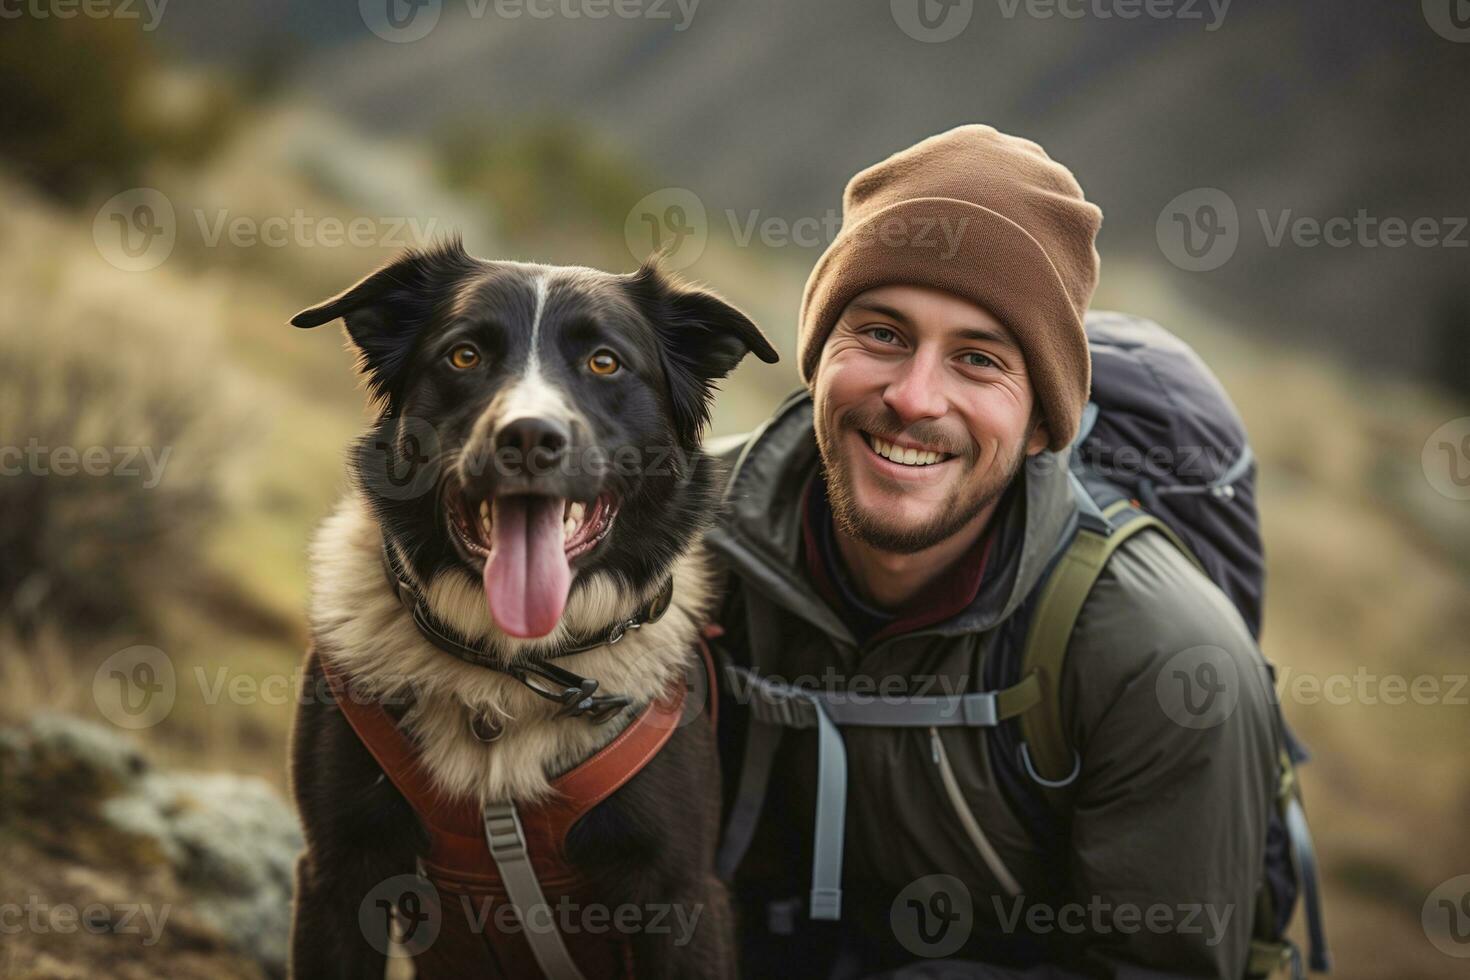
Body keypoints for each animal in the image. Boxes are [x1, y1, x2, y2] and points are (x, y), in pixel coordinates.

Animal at [280, 239, 776, 980]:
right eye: (464, 356)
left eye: (605, 362)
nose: (528, 438)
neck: (508, 668)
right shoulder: (339, 873)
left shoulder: (683, 896)